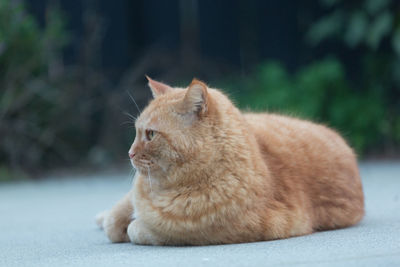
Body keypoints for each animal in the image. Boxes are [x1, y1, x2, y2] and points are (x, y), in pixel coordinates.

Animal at [95, 76, 364, 246]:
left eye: (150, 134)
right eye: (137, 132)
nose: (129, 153)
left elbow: (136, 229)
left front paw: (130, 227)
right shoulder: (134, 197)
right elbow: (117, 216)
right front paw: (112, 220)